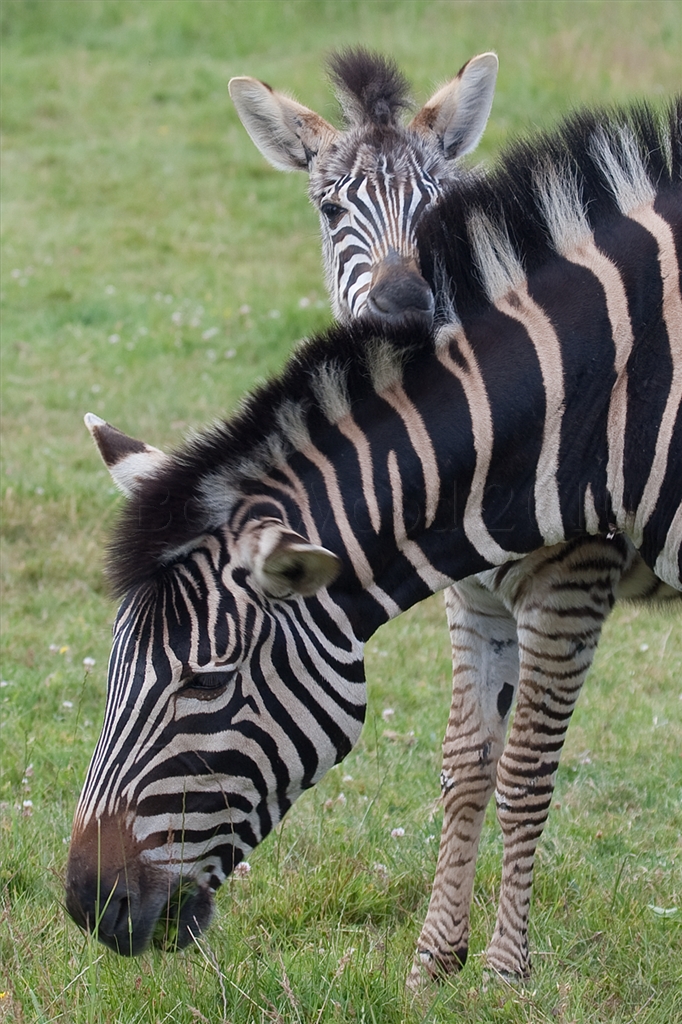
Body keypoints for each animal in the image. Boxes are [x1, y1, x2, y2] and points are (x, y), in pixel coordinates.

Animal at [65, 100, 682, 983]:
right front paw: (433, 968)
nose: (87, 905)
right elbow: (468, 767)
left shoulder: (571, 591)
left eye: (206, 682)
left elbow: (525, 773)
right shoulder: (477, 598)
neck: (602, 389)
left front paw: (505, 975)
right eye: (113, 667)